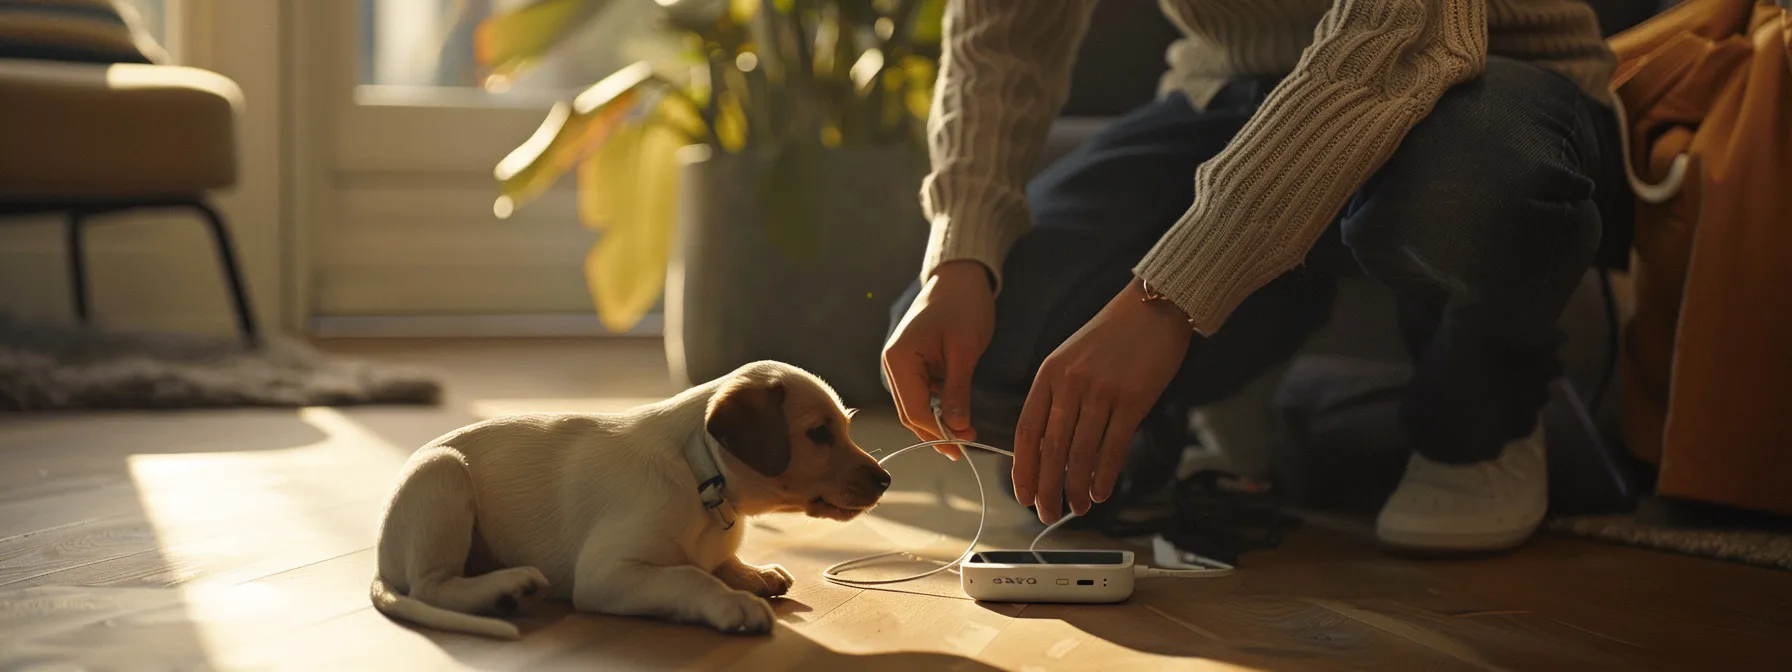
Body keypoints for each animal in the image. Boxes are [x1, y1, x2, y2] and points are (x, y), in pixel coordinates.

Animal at [369, 360, 888, 637]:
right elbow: (689, 577)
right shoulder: (607, 572)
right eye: (818, 434)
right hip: (443, 474)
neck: (703, 477)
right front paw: (732, 602)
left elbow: (718, 564)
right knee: (432, 586)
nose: (885, 481)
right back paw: (509, 587)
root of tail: (381, 562)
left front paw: (751, 574)